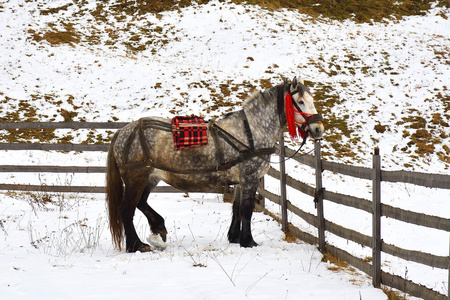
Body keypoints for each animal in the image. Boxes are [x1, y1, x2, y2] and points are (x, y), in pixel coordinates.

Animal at [105, 76, 324, 252]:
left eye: (311, 100)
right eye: (300, 101)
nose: (318, 128)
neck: (251, 131)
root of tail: (123, 132)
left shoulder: (240, 181)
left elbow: (237, 209)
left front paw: (235, 237)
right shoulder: (250, 178)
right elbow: (246, 210)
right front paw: (248, 241)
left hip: (150, 178)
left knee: (140, 203)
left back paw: (158, 228)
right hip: (136, 178)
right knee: (127, 208)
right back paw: (136, 245)